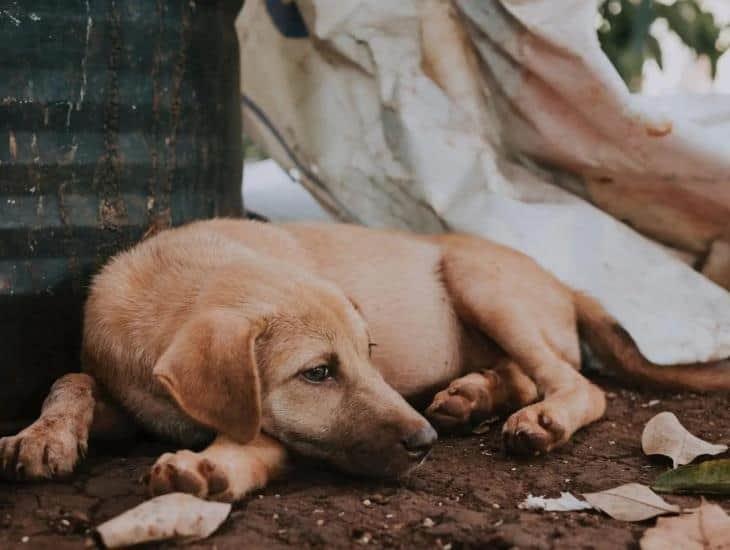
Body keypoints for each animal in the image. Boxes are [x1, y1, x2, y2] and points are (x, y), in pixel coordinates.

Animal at [1, 221, 728, 504]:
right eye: (319, 372)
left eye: (369, 353)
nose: (425, 443)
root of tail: (564, 283)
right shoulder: (128, 392)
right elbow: (72, 378)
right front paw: (44, 436)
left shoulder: (270, 429)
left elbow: (254, 439)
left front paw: (210, 466)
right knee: (528, 372)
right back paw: (470, 396)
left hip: (479, 281)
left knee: (578, 384)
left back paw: (537, 419)